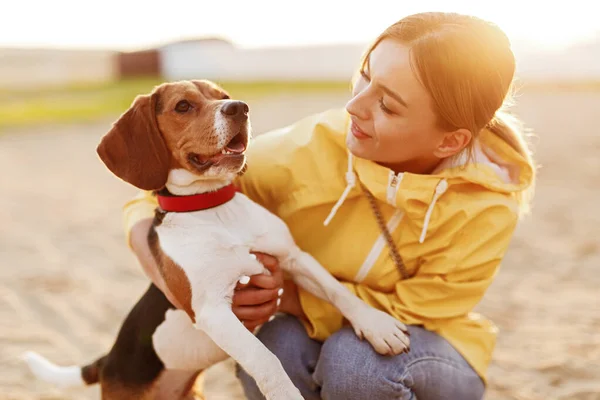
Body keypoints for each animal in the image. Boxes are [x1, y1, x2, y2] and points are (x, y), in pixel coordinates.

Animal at [22, 80, 408, 400]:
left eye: (222, 96)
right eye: (182, 106)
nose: (239, 107)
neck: (213, 208)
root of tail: (107, 362)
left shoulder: (293, 257)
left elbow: (338, 291)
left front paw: (378, 327)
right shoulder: (213, 310)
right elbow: (264, 359)